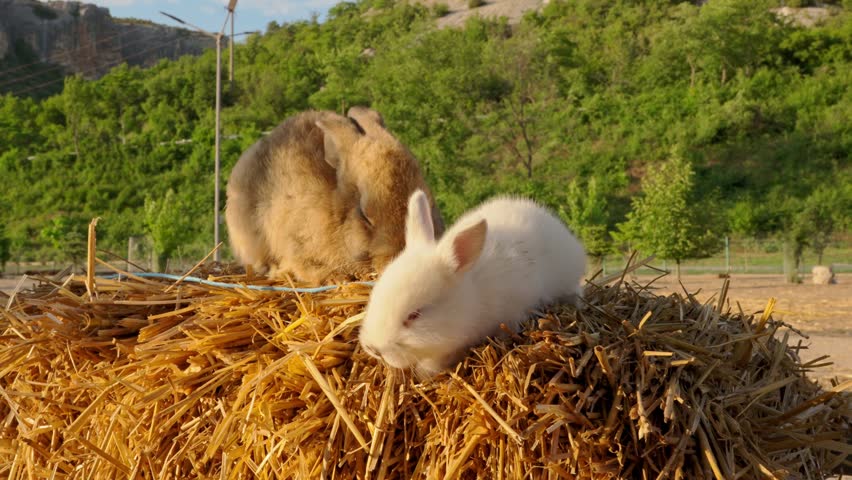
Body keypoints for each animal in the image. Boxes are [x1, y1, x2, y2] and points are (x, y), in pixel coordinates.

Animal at [225, 107, 444, 284]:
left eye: (430, 204)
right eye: (364, 215)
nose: (396, 259)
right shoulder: (294, 245)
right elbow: (302, 267)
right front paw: (334, 277)